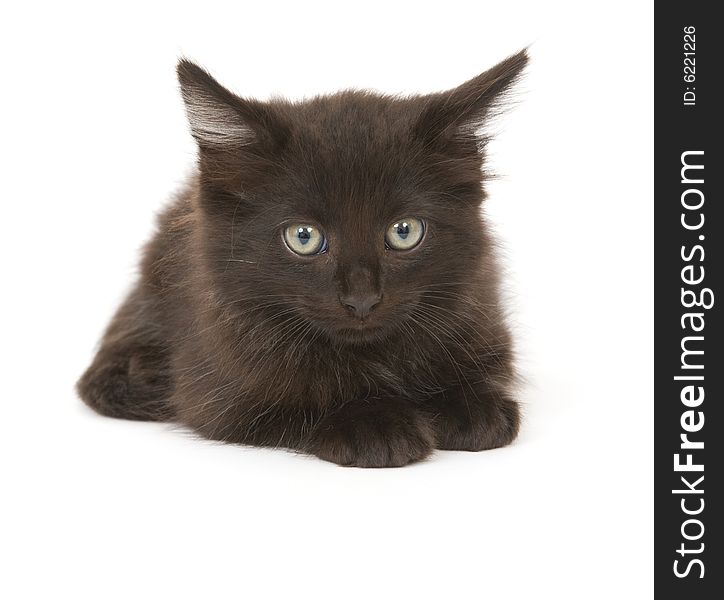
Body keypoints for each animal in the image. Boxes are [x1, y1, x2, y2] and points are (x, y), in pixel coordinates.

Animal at [78, 49, 528, 466]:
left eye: (404, 231)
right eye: (304, 237)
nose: (361, 299)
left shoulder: (480, 310)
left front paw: (470, 406)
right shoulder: (218, 388)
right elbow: (292, 403)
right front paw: (372, 423)